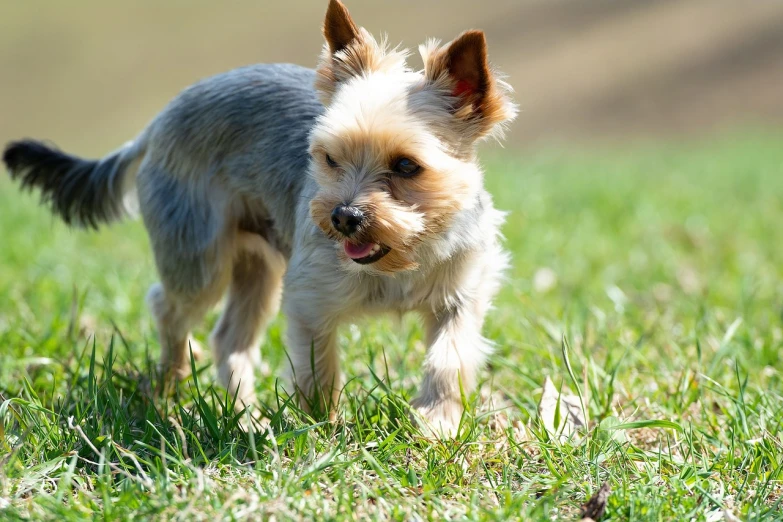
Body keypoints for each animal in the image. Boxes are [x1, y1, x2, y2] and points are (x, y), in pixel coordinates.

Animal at [3, 0, 516, 430]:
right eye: (329, 158)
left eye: (407, 166)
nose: (344, 217)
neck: (399, 255)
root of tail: (158, 121)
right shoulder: (311, 301)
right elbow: (317, 370)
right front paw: (320, 432)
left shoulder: (462, 293)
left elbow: (450, 356)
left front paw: (437, 421)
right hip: (199, 255)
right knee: (169, 305)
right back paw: (170, 387)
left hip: (259, 266)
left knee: (230, 337)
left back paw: (243, 412)